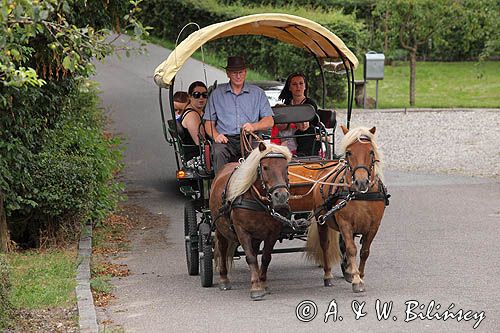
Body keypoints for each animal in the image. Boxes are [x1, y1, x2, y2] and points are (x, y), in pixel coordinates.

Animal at [209, 141, 292, 300]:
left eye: (286, 167)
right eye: (265, 167)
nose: (281, 196)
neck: (256, 199)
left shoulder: (273, 232)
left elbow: (265, 257)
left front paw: (262, 283)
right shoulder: (242, 231)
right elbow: (251, 258)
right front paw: (256, 288)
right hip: (220, 228)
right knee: (222, 249)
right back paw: (224, 279)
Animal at [304, 126, 390, 292]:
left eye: (371, 152)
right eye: (349, 152)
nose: (361, 182)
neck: (361, 195)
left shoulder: (374, 226)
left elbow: (364, 251)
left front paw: (359, 275)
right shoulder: (345, 223)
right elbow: (351, 249)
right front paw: (357, 280)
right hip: (321, 220)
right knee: (325, 245)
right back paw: (328, 275)